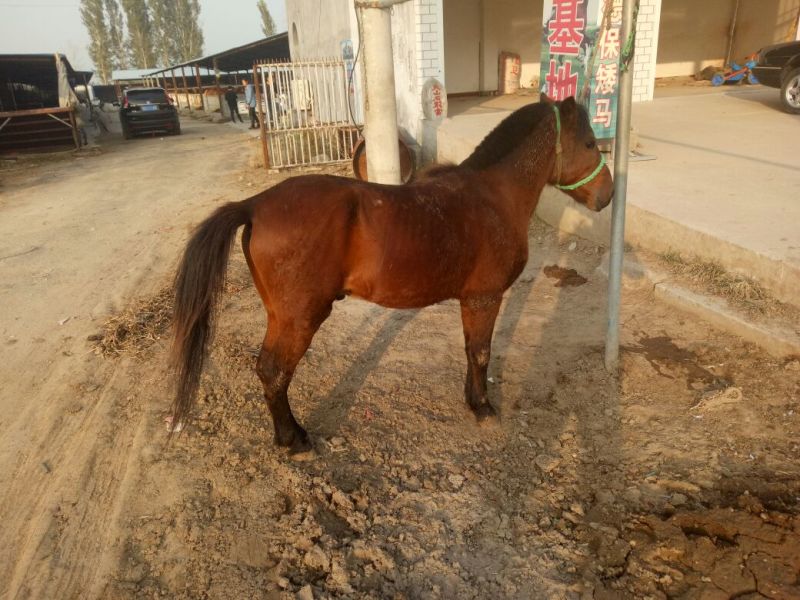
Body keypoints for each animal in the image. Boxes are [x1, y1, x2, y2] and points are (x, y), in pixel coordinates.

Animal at [170, 95, 614, 454]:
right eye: (590, 143)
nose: (607, 195)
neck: (492, 196)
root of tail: (255, 204)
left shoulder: (471, 301)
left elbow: (470, 350)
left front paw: (472, 400)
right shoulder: (485, 298)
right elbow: (482, 353)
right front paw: (484, 408)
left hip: (280, 316)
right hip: (299, 318)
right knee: (273, 372)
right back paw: (293, 441)